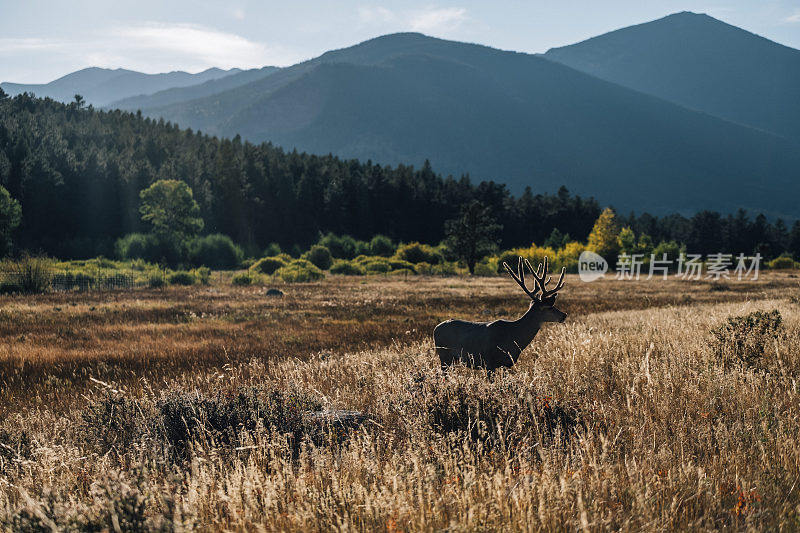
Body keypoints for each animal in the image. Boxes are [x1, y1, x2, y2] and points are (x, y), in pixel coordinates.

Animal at [434, 256, 564, 372]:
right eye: (549, 307)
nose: (564, 315)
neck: (513, 336)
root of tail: (435, 329)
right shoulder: (489, 362)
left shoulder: (506, 364)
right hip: (444, 354)